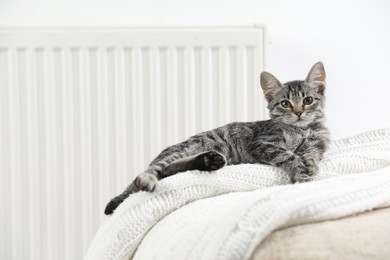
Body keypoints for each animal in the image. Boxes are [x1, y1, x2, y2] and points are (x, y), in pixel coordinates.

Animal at [103, 61, 330, 215]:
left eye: (308, 100)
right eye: (285, 104)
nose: (299, 112)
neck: (303, 129)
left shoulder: (319, 143)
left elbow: (311, 153)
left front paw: (310, 164)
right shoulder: (264, 144)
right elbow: (289, 155)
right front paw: (301, 172)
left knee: (169, 170)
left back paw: (209, 160)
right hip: (182, 150)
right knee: (154, 172)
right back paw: (148, 179)